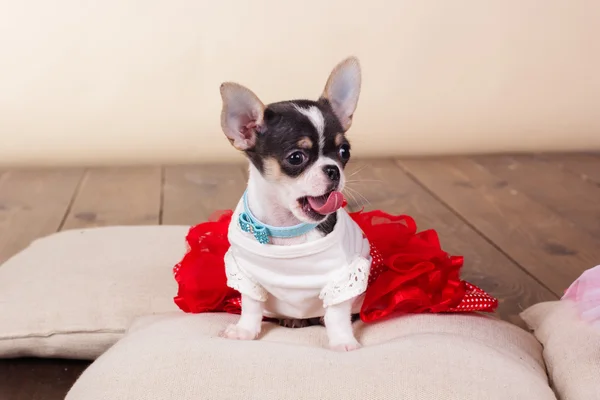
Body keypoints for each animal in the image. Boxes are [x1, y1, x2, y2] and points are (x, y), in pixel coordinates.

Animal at [218, 56, 368, 350]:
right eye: (296, 157)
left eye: (344, 152)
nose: (334, 170)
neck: (287, 228)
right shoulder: (247, 275)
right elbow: (251, 305)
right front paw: (245, 331)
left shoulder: (344, 277)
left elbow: (336, 314)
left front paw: (343, 341)